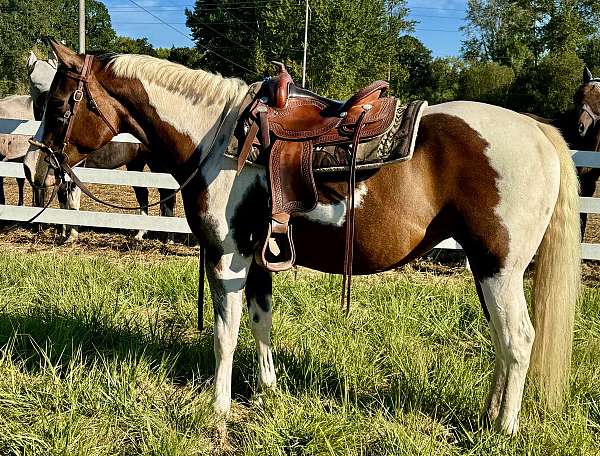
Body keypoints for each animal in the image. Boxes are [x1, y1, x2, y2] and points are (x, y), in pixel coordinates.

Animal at [24, 40, 580, 434]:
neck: (216, 137)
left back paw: (504, 427)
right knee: (503, 341)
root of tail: (537, 131)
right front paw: (268, 391)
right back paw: (489, 414)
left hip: (498, 267)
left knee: (518, 339)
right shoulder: (257, 256)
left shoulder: (227, 256)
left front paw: (218, 408)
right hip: (485, 268)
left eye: (58, 103)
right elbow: (260, 322)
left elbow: (226, 334)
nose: (35, 164)